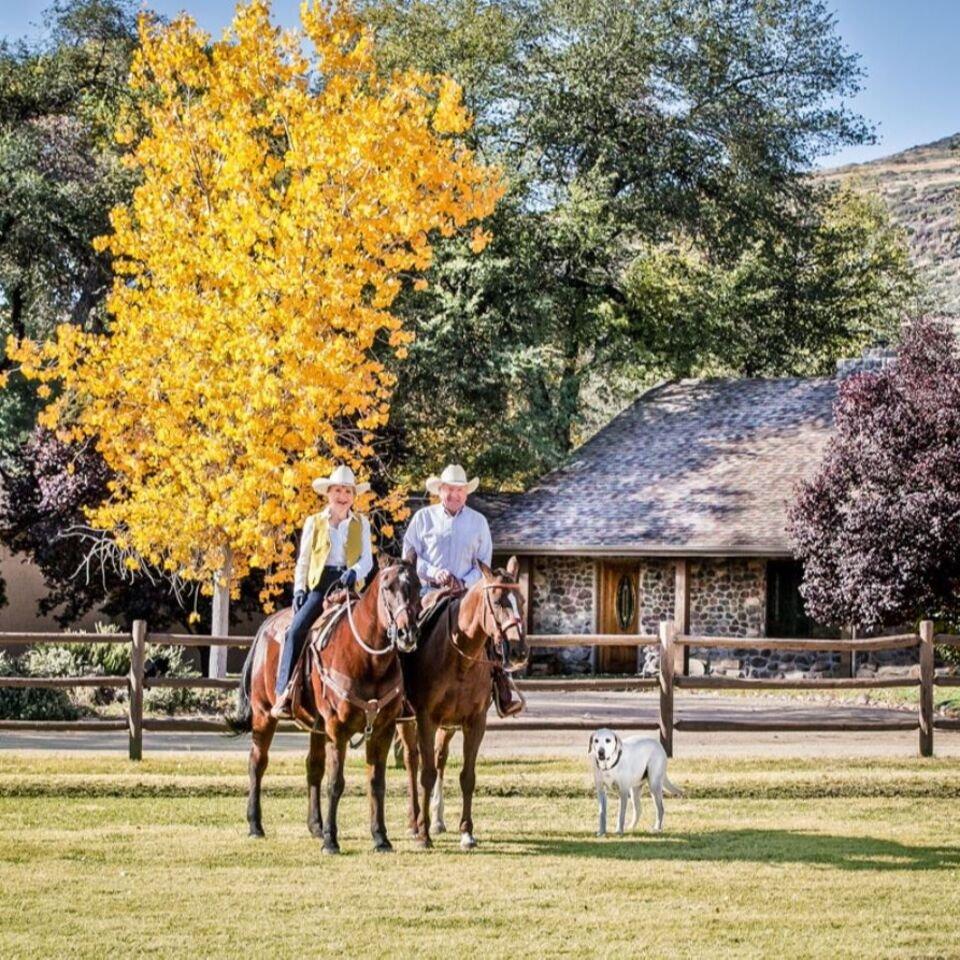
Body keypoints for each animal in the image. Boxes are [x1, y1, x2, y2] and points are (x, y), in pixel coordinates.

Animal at [229, 556, 420, 856]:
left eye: (418, 586)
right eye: (387, 587)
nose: (406, 633)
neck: (367, 660)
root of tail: (268, 625)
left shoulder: (383, 729)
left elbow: (376, 783)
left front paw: (380, 838)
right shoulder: (337, 729)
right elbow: (336, 782)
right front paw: (332, 840)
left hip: (316, 727)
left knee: (313, 767)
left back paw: (315, 826)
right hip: (263, 715)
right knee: (257, 763)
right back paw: (255, 825)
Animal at [400, 560, 532, 852]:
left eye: (521, 600)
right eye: (498, 600)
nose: (519, 652)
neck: (461, 658)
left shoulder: (475, 721)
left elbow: (467, 777)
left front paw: (466, 832)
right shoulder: (425, 719)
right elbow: (426, 774)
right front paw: (423, 835)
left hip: (447, 725)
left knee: (440, 758)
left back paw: (437, 820)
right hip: (406, 722)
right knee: (412, 761)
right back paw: (415, 822)